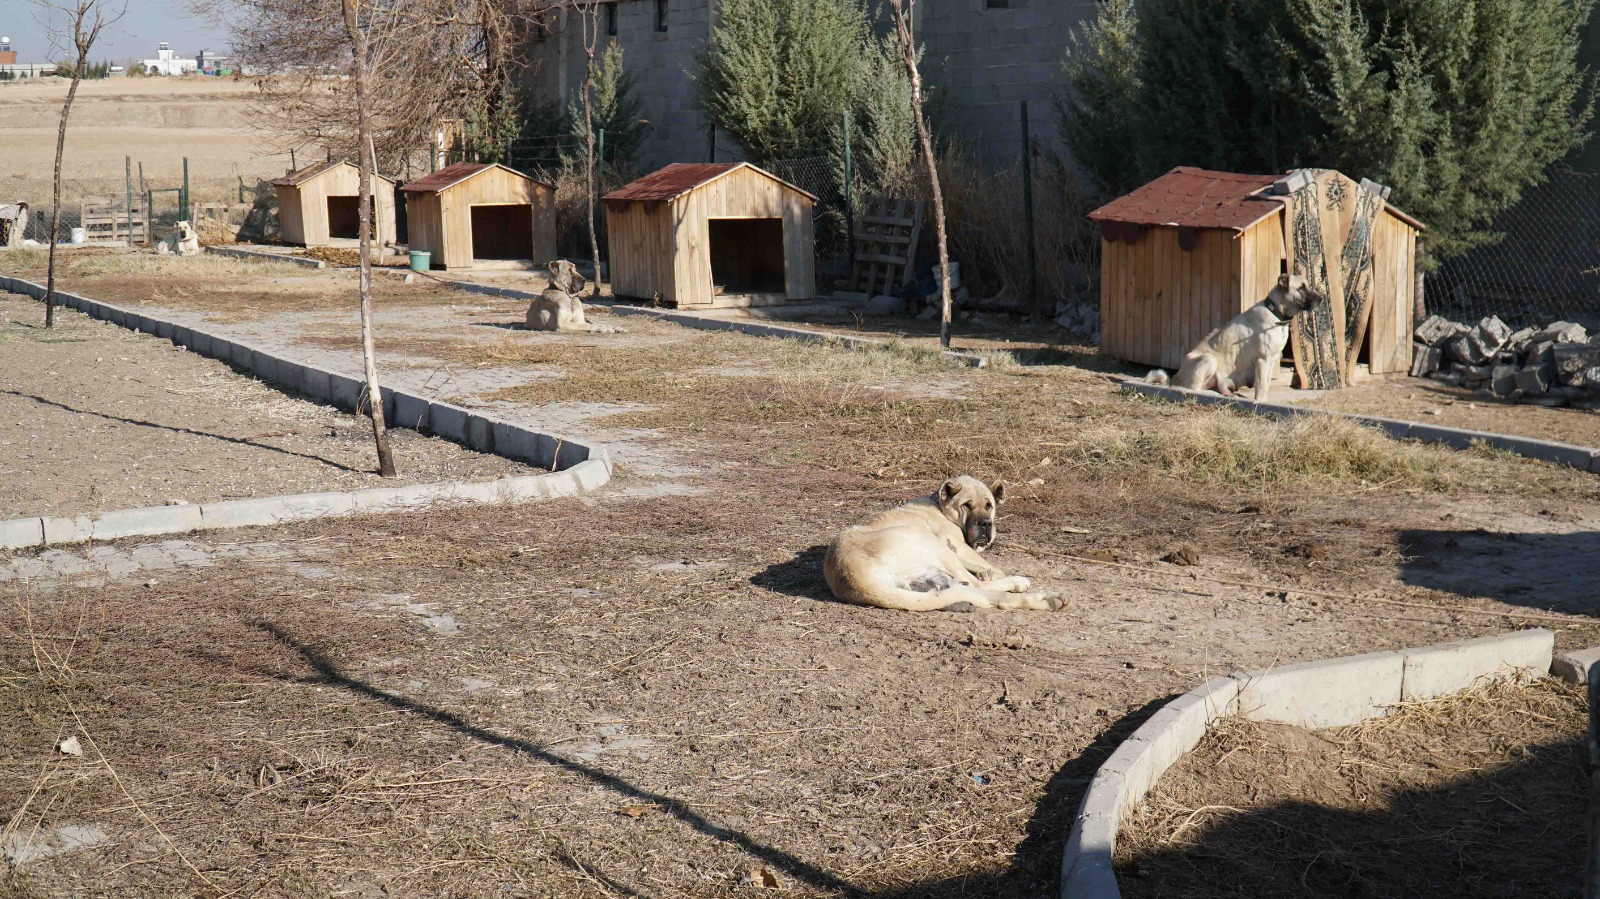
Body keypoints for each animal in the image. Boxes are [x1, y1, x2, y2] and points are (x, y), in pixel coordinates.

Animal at [825, 476, 1062, 607]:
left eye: (989, 505)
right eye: (967, 505)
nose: (986, 524)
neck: (939, 506)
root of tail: (853, 575)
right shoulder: (952, 541)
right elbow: (990, 568)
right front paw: (993, 573)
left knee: (965, 589)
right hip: (932, 542)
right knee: (976, 585)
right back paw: (1031, 590)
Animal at [1152, 271, 1324, 399]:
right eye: (1301, 287)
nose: (1321, 299)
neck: (1276, 313)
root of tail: (1174, 378)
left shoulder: (1271, 360)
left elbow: (1267, 385)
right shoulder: (1263, 361)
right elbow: (1261, 388)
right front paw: (1260, 402)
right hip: (1208, 359)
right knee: (1194, 388)